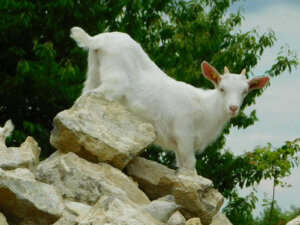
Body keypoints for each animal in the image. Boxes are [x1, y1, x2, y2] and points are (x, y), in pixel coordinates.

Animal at [69, 27, 270, 173]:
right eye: (222, 89)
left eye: (245, 91)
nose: (233, 108)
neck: (206, 109)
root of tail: (98, 41)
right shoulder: (184, 133)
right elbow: (190, 166)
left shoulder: (179, 145)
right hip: (115, 81)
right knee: (93, 96)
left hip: (94, 72)